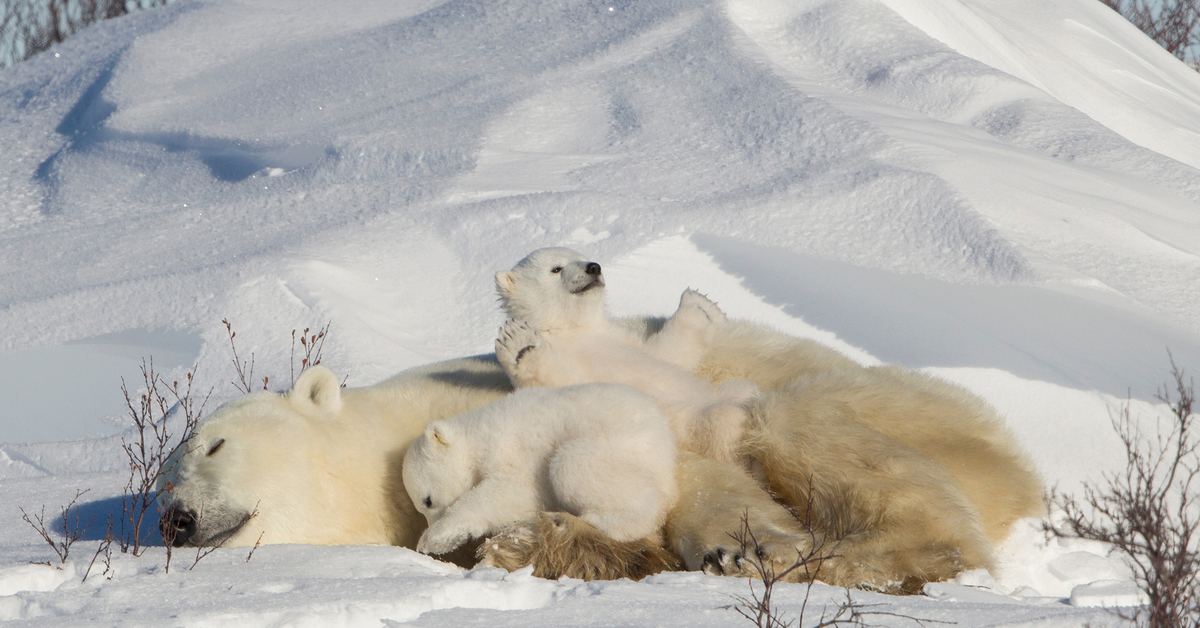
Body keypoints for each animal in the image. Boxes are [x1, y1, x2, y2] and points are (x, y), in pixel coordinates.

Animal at [492, 247, 753, 461]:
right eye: (556, 268)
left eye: (582, 257)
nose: (593, 267)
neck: (572, 329)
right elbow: (565, 384)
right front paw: (520, 344)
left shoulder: (620, 339)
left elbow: (667, 353)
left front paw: (702, 305)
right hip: (680, 419)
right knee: (719, 421)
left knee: (743, 390)